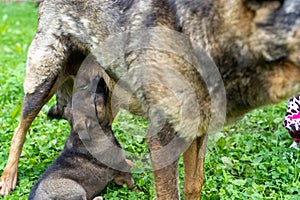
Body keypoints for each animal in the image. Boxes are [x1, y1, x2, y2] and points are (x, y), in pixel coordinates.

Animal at [0, 0, 300, 199]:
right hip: (43, 82)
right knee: (20, 128)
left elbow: (194, 184)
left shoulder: (196, 130)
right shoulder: (162, 137)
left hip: (109, 96)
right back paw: (8, 177)